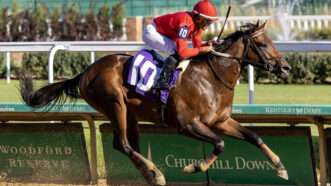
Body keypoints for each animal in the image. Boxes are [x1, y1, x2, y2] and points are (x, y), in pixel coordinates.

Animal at [20, 21, 290, 185]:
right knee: (123, 144)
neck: (211, 78)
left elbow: (253, 136)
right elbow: (220, 144)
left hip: (129, 113)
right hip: (115, 105)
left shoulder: (221, 121)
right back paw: (157, 173)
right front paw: (195, 167)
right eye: (263, 44)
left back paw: (151, 174)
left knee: (129, 144)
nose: (286, 67)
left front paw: (280, 166)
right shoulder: (187, 125)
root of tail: (86, 72)